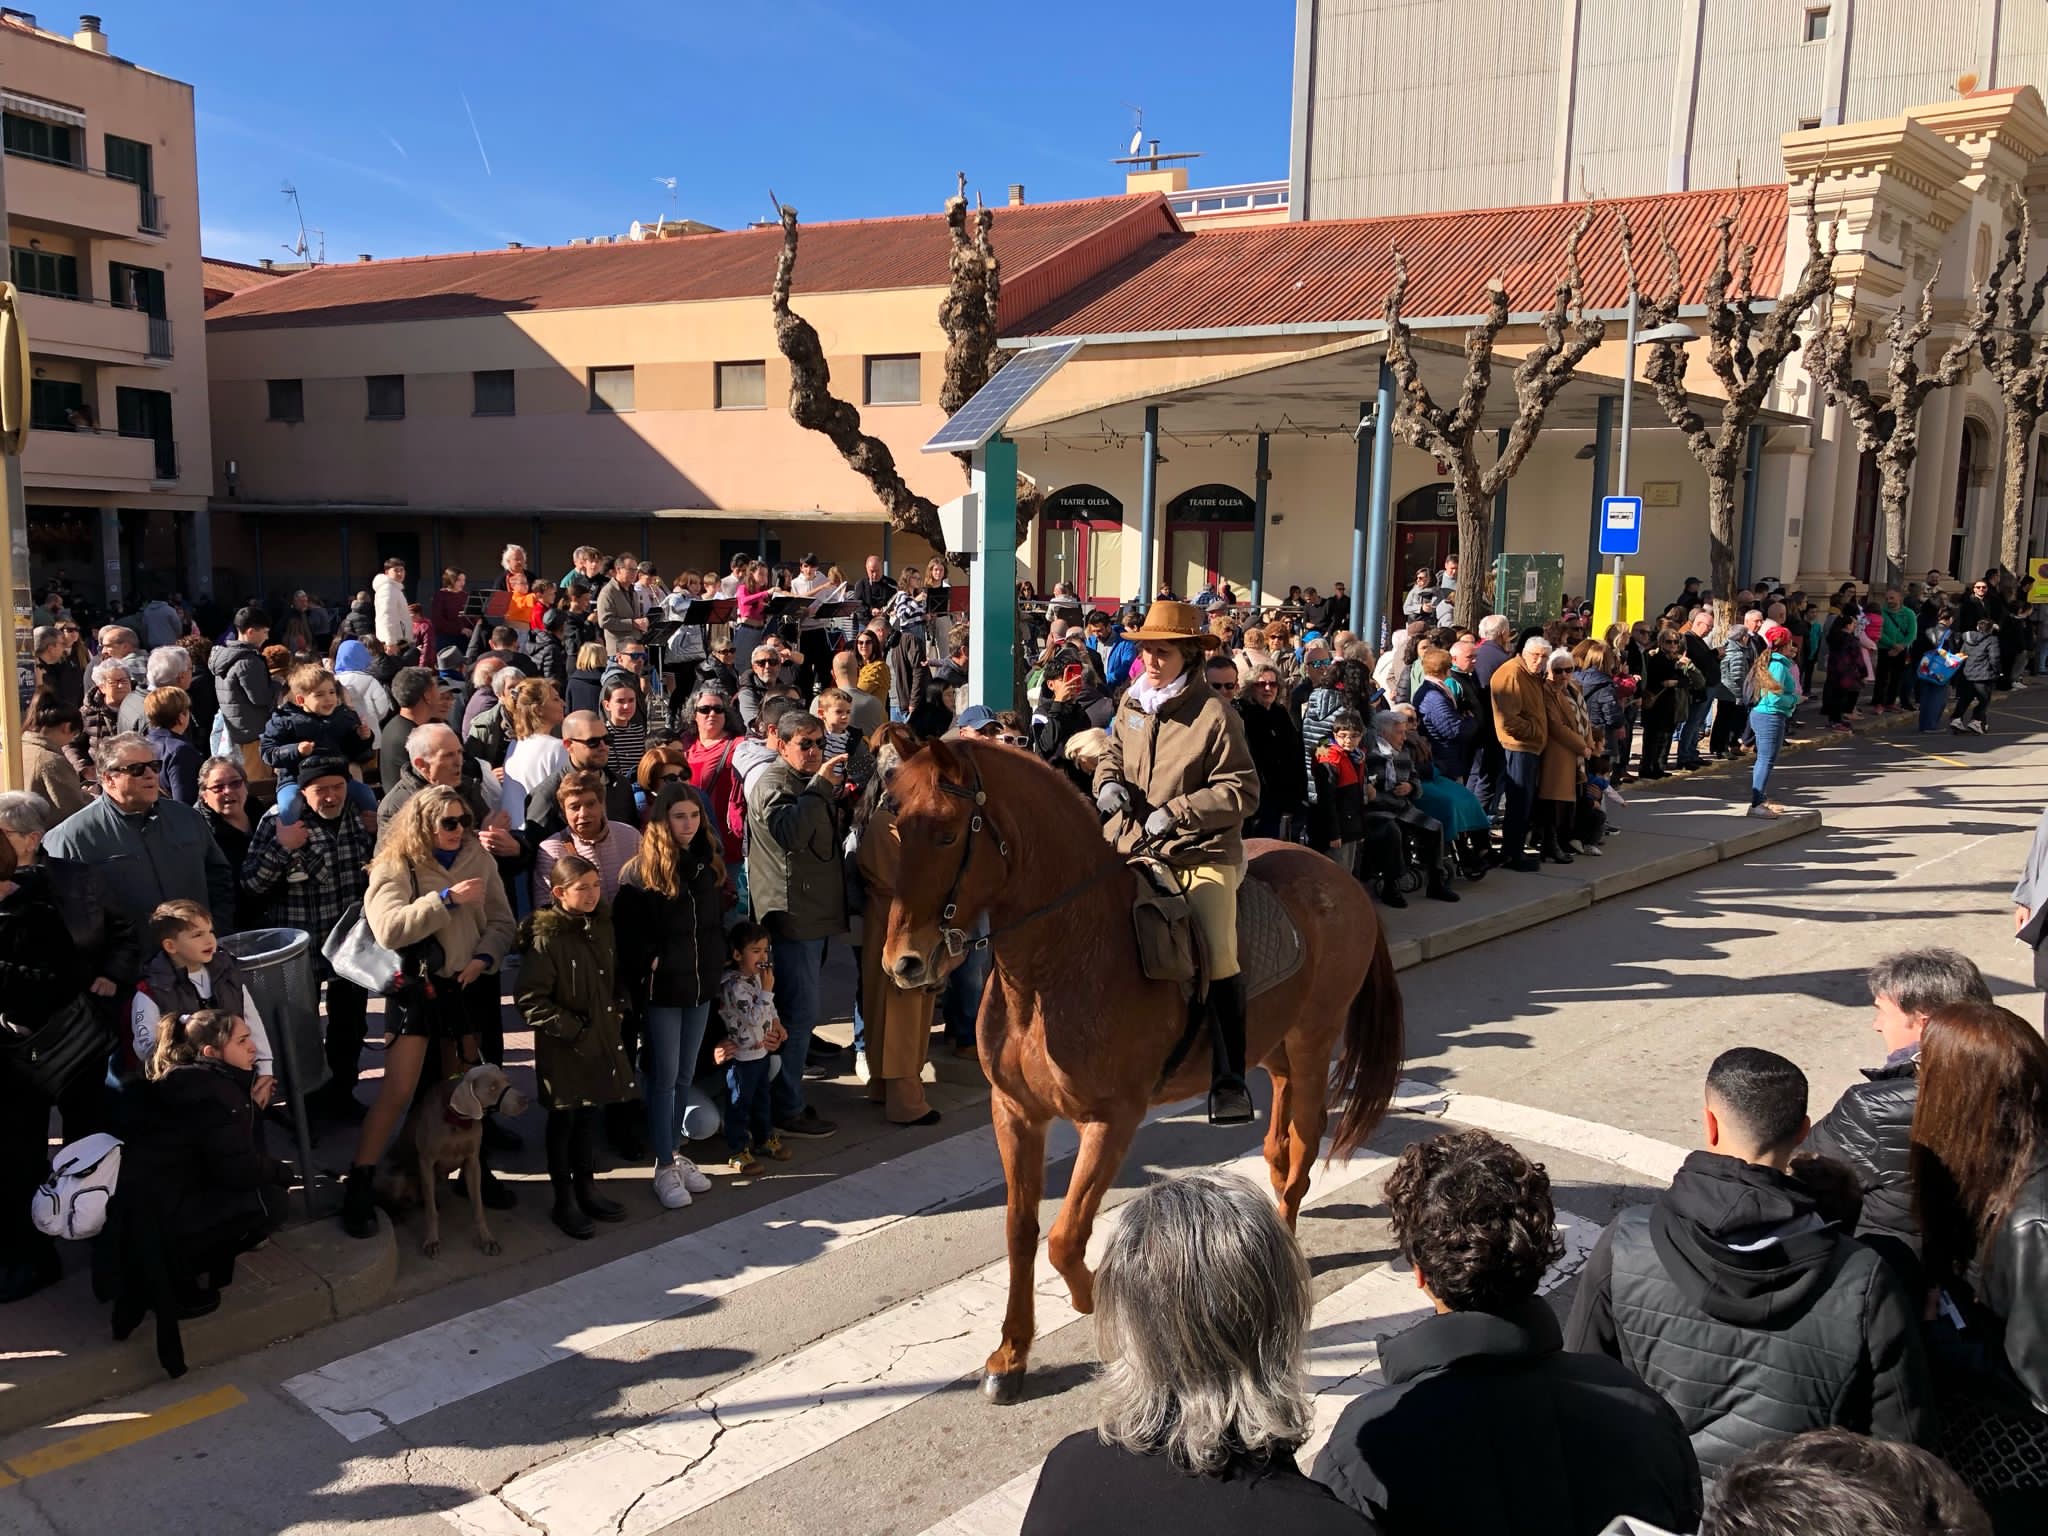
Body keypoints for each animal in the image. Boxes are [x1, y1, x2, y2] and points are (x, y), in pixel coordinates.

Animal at [880, 737, 1409, 1409]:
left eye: (948, 833)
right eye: (896, 825)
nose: (904, 963)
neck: (1056, 966)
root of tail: (1341, 874)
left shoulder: (1111, 1121)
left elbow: (1066, 1236)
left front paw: (1092, 1300)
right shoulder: (1016, 1113)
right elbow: (1021, 1230)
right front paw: (1011, 1355)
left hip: (1314, 1040)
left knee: (1304, 1145)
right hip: (1273, 1043)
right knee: (1281, 1131)